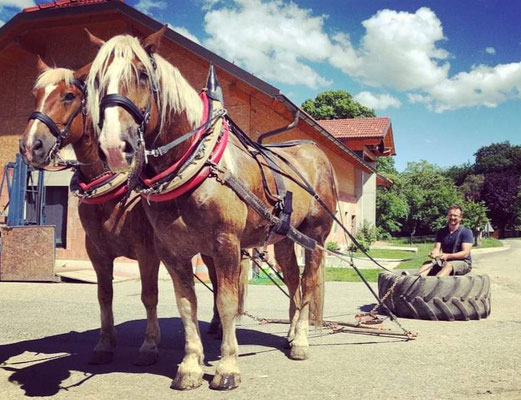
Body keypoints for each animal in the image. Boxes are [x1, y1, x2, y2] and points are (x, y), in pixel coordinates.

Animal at [18, 58, 161, 366]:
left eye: (69, 96)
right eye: (35, 95)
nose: (30, 146)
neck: (115, 193)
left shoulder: (148, 252)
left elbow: (149, 295)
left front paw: (149, 346)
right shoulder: (97, 252)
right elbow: (104, 294)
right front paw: (105, 345)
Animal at [86, 28, 338, 390]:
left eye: (143, 75)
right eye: (95, 82)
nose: (114, 147)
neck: (197, 165)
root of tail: (314, 151)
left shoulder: (226, 245)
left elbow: (227, 302)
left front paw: (227, 367)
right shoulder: (172, 251)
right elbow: (186, 305)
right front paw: (191, 366)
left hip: (315, 237)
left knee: (309, 284)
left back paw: (301, 340)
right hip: (284, 241)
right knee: (294, 282)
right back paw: (290, 334)